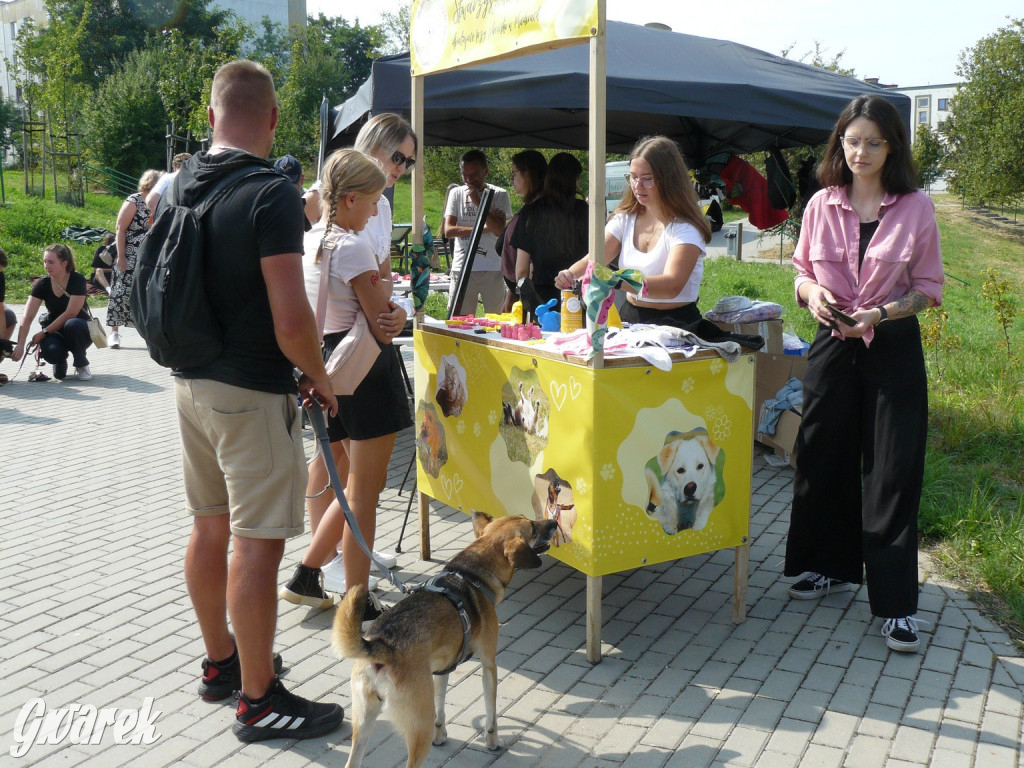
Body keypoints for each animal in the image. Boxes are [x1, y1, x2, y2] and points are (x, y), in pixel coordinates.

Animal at [333, 512, 557, 768]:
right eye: (532, 527)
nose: (554, 522)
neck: (471, 576)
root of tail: (381, 646)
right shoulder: (489, 664)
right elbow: (491, 713)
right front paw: (493, 741)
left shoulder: (442, 669)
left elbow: (441, 706)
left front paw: (441, 735)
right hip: (419, 726)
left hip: (363, 721)